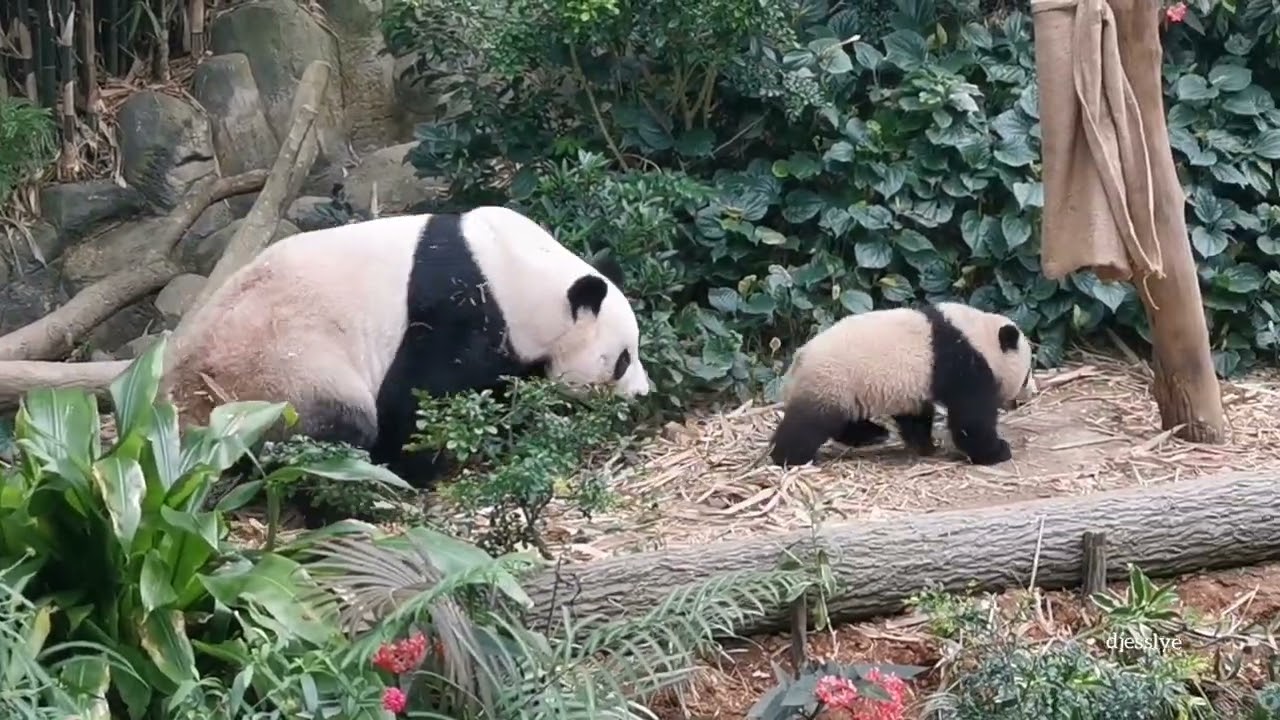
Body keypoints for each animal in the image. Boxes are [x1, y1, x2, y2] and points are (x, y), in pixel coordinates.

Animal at [160, 205, 652, 489]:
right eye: (621, 360)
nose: (643, 394)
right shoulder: (457, 309)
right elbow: (420, 397)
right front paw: (412, 468)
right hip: (275, 371)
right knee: (334, 428)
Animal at [768, 301, 1037, 468]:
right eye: (1026, 375)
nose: (1031, 393)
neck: (977, 334)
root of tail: (797, 362)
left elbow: (915, 415)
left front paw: (925, 445)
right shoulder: (961, 361)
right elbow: (971, 418)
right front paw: (997, 451)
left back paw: (874, 434)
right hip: (831, 380)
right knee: (808, 425)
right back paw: (789, 458)